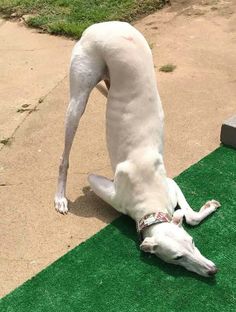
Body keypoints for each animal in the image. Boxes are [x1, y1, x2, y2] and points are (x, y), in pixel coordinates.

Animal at [54, 20, 220, 276]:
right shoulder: (107, 189)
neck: (150, 200)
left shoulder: (170, 185)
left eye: (192, 242)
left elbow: (190, 217)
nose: (212, 270)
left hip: (110, 80)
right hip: (78, 99)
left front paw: (207, 207)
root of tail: (101, 24)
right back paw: (61, 197)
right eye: (178, 258)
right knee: (65, 156)